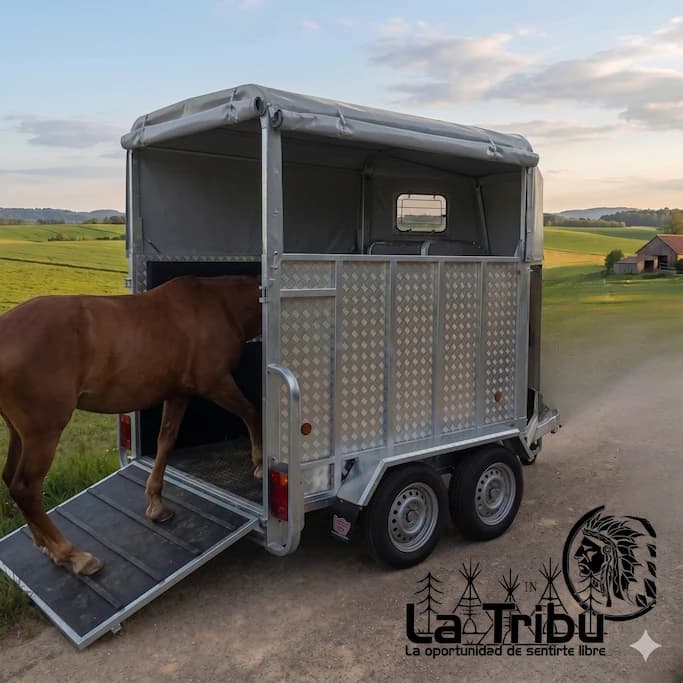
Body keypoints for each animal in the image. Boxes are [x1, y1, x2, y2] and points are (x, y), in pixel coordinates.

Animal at [0, 275, 262, 576]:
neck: (219, 305)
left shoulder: (178, 394)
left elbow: (165, 441)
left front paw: (156, 504)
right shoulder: (216, 383)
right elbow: (251, 413)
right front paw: (259, 464)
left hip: (18, 432)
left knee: (10, 479)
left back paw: (46, 547)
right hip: (43, 433)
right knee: (25, 487)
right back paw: (74, 555)